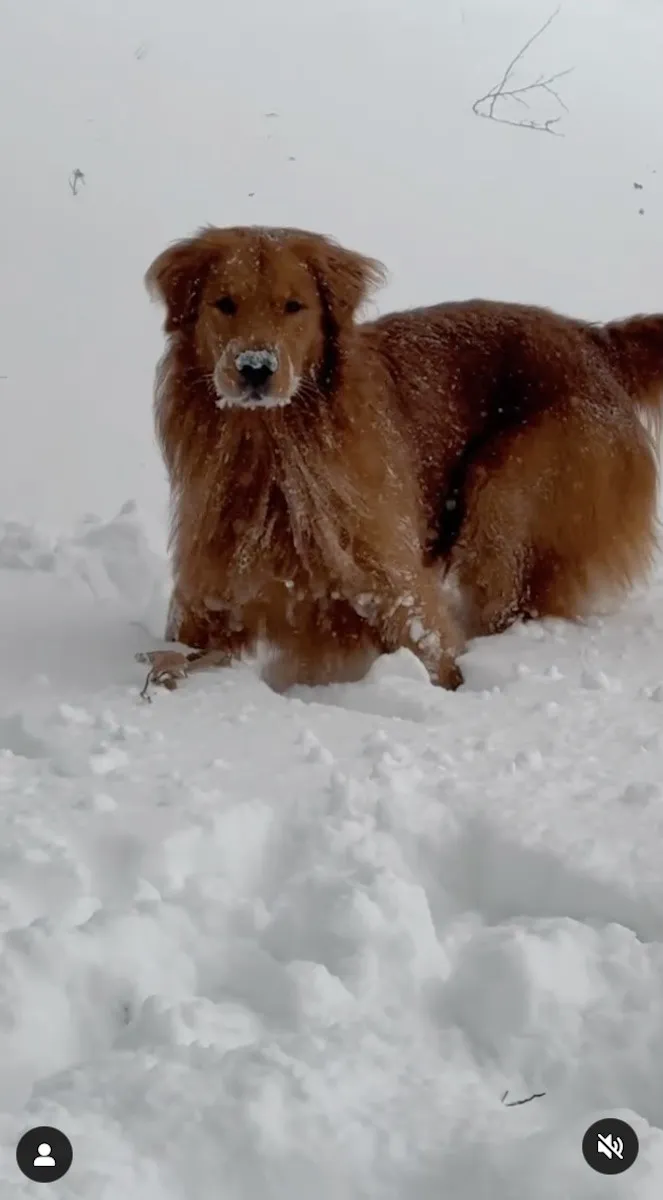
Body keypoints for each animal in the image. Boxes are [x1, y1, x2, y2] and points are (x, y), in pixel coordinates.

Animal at [137, 225, 658, 696]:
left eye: (293, 306)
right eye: (224, 303)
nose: (255, 368)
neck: (272, 452)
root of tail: (594, 338)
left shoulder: (391, 582)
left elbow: (435, 655)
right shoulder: (208, 594)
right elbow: (179, 652)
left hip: (506, 500)